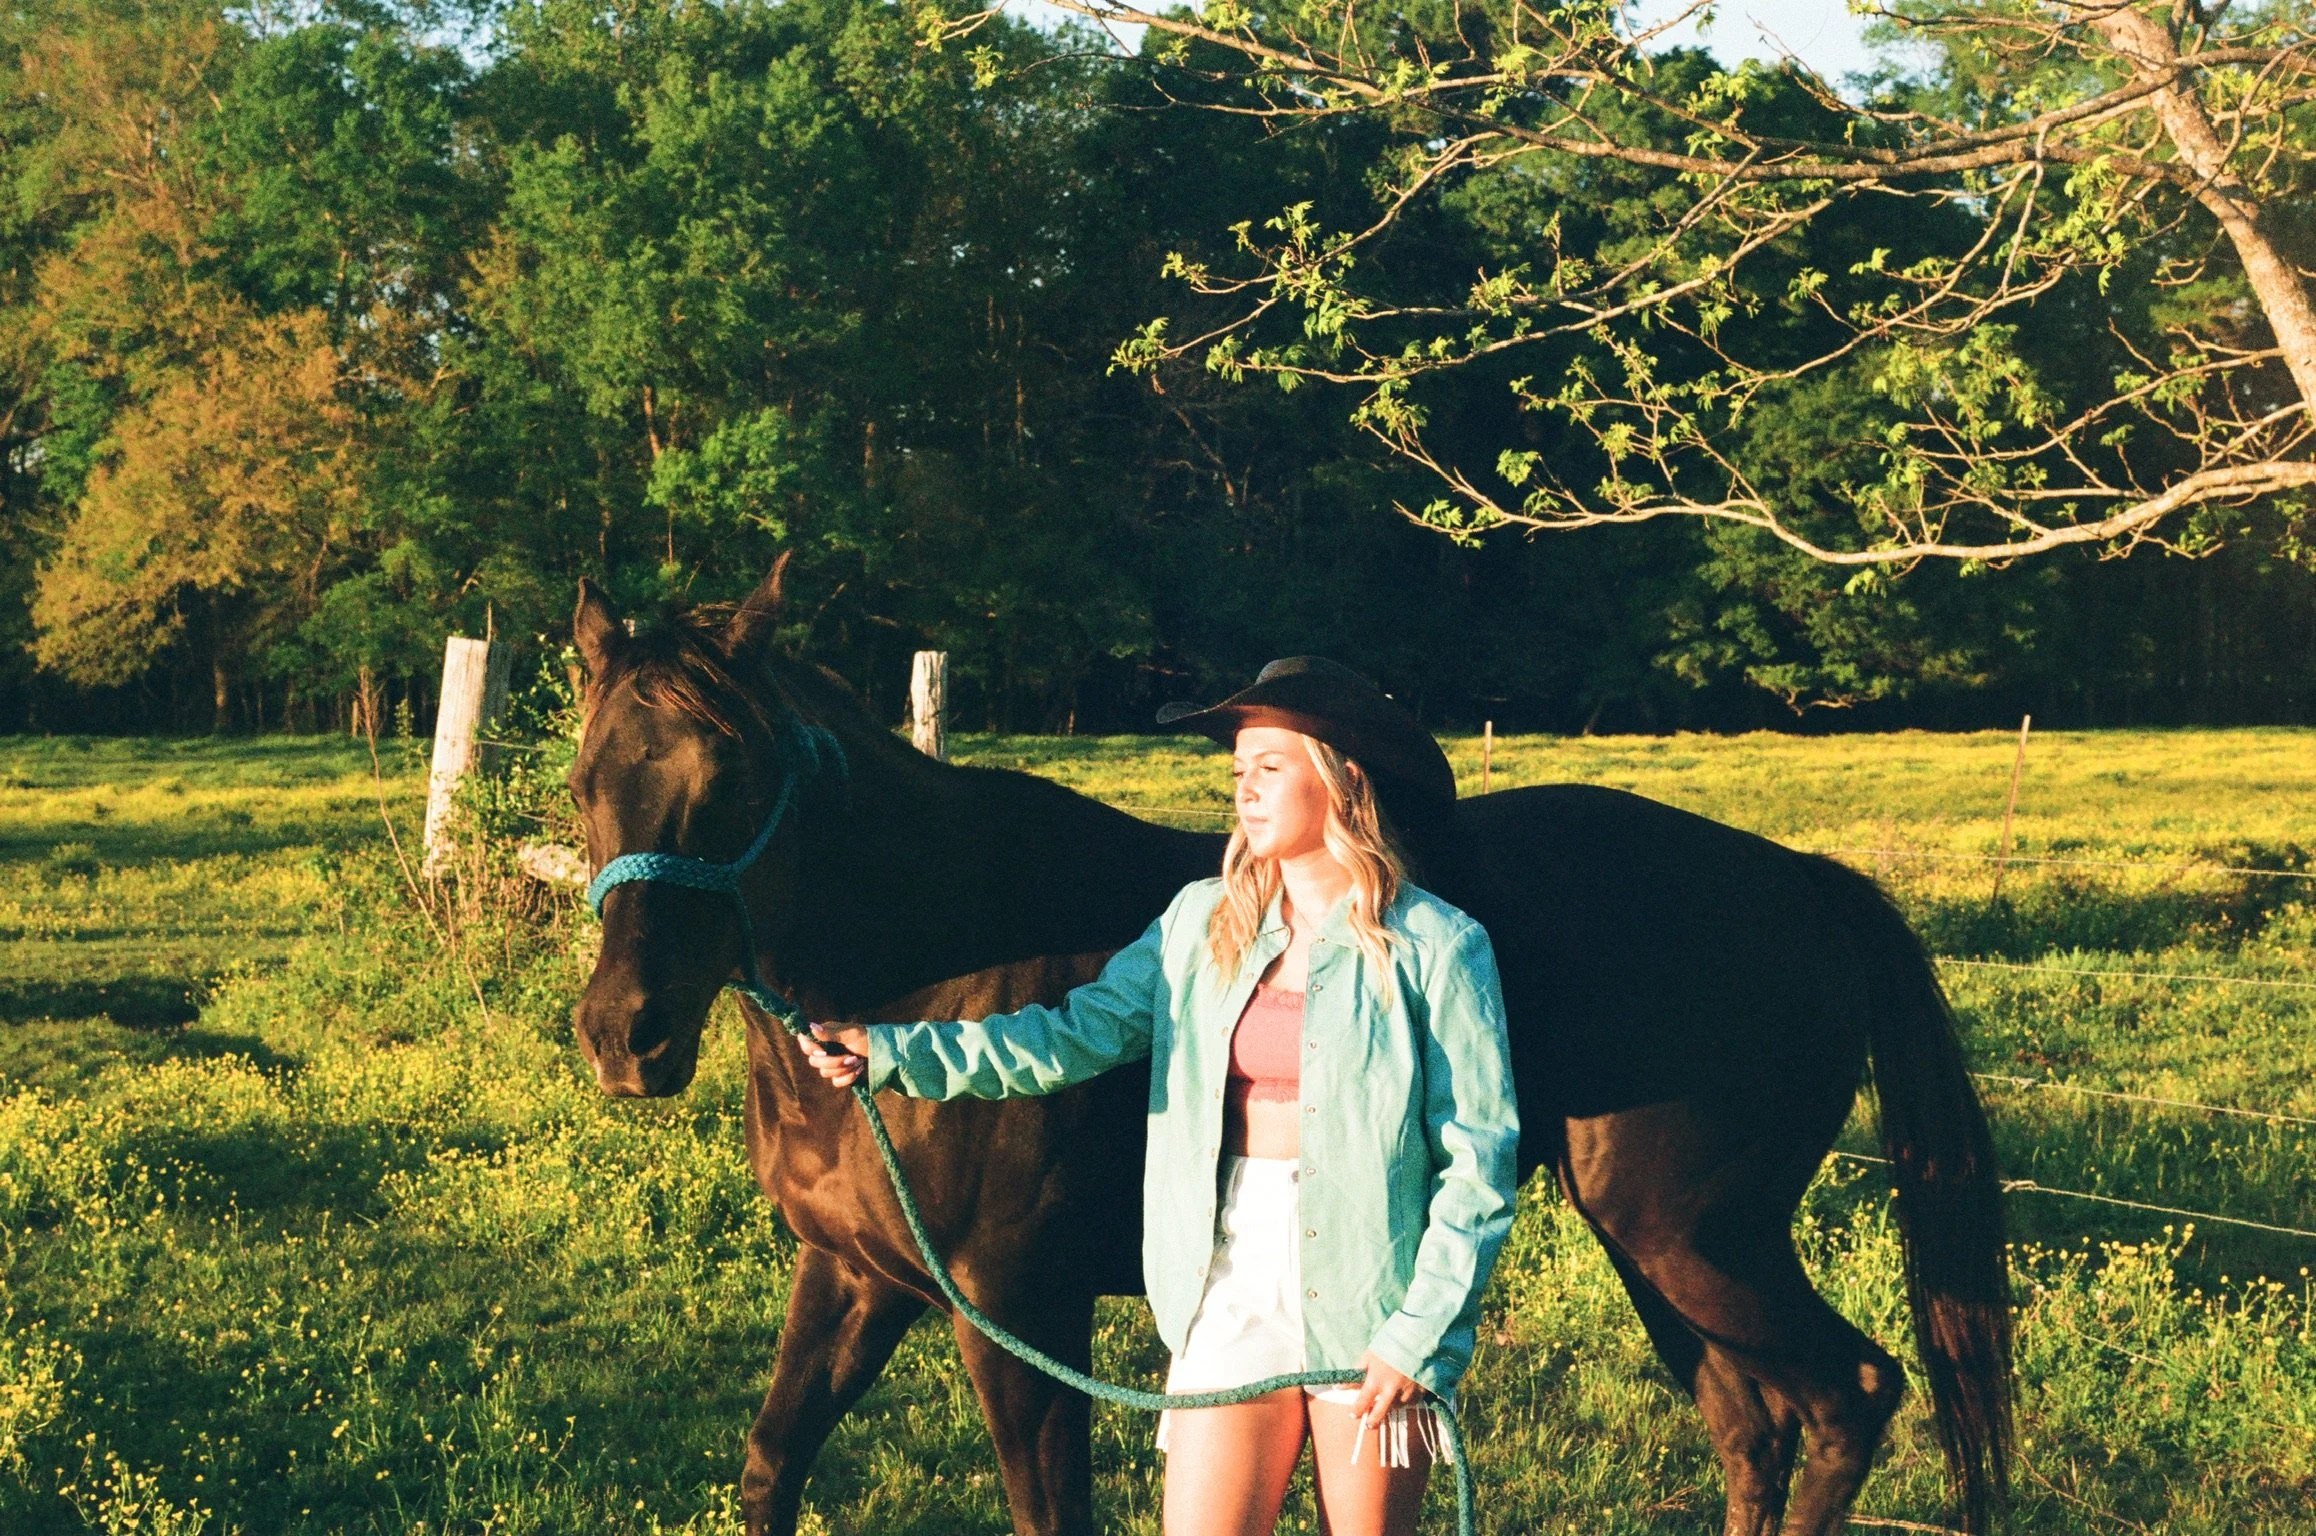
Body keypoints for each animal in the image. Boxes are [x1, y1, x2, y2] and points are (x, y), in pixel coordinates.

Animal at [565, 559, 2013, 1536]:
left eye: (735, 774)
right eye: (586, 780)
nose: (625, 1034)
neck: (937, 957)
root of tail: (1802, 884)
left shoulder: (1018, 1313)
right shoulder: (857, 1279)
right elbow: (772, 1461)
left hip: (1696, 1239)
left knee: (1845, 1397)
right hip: (1666, 1250)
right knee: (1753, 1428)